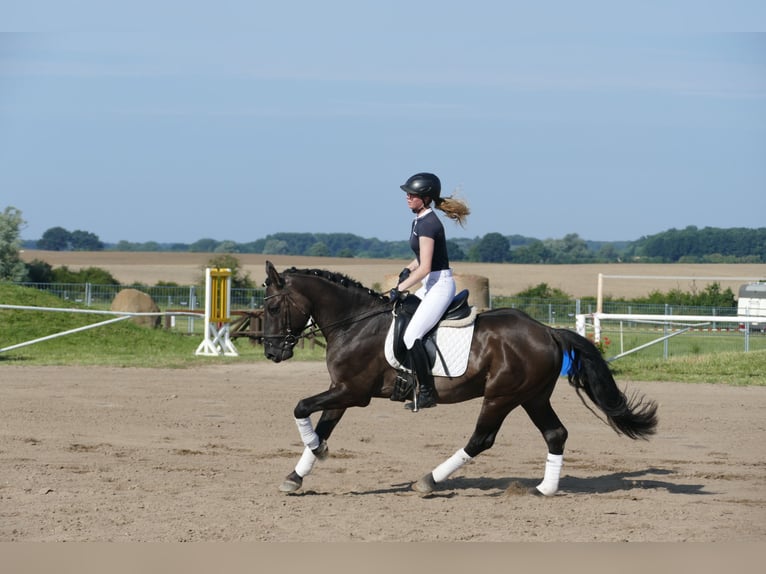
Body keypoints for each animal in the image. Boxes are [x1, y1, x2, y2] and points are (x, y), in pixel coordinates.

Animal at [262, 261, 658, 495]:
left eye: (272, 306)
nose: (271, 353)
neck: (355, 322)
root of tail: (546, 330)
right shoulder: (341, 390)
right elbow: (323, 424)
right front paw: (298, 474)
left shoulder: (352, 392)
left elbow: (301, 408)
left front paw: (317, 452)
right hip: (532, 396)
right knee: (555, 433)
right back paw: (544, 489)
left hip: (501, 396)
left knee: (482, 439)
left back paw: (428, 480)